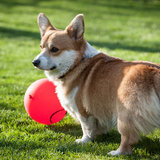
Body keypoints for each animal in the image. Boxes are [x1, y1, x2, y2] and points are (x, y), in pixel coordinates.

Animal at [32, 13, 160, 156]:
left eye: (54, 49)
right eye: (41, 47)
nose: (35, 62)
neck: (77, 62)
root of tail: (153, 72)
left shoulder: (82, 110)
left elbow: (87, 128)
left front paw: (84, 141)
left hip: (125, 115)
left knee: (128, 139)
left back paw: (116, 153)